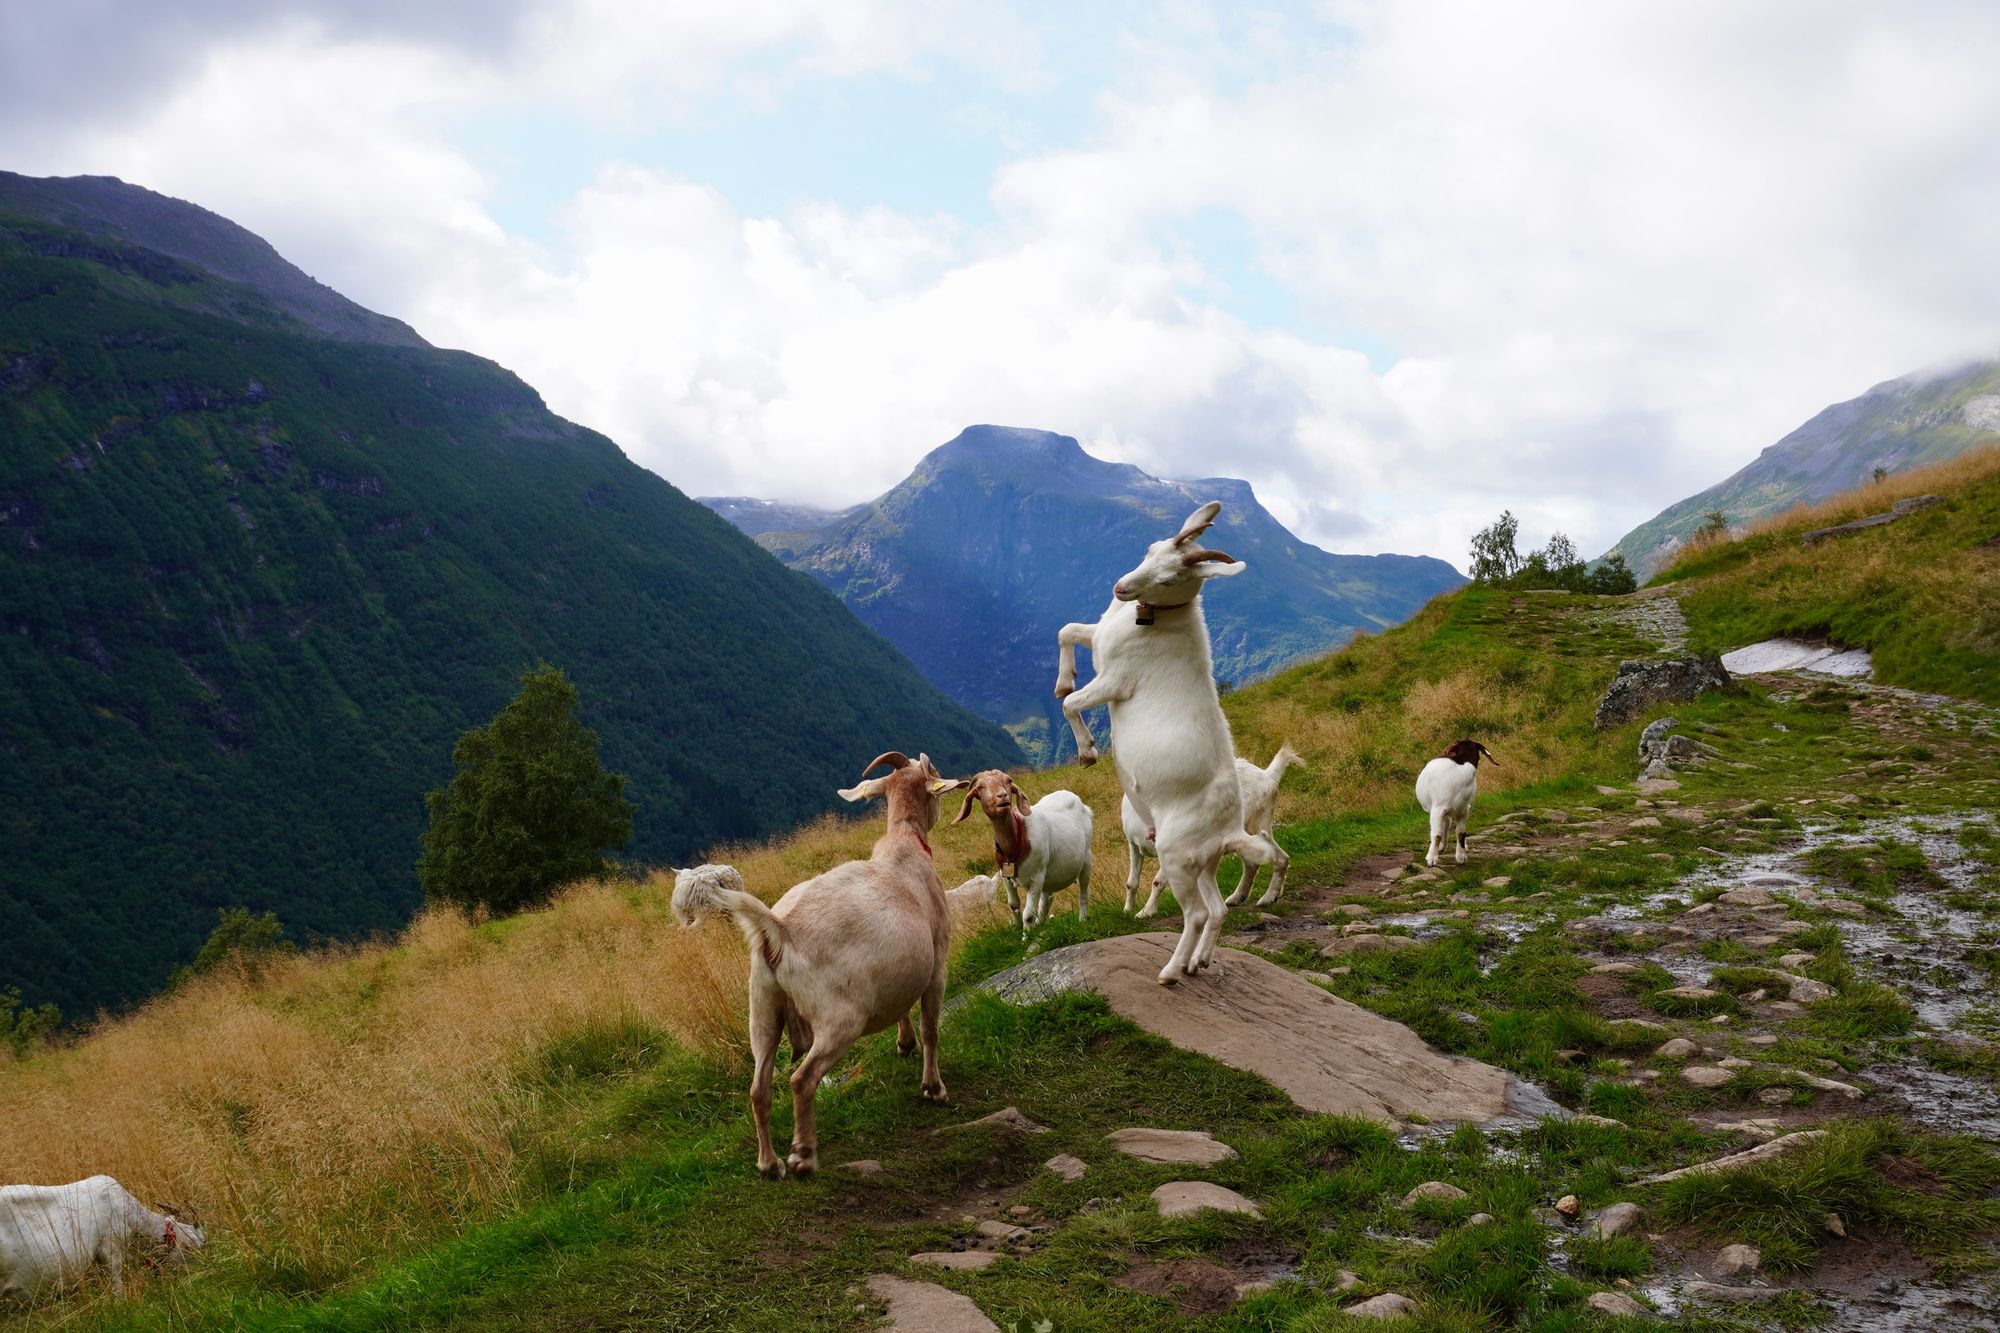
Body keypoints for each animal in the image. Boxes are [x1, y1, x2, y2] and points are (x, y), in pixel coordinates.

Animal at [672, 752, 967, 1180]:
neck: (904, 847)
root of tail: (778, 932)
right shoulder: (937, 962)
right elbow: (931, 1028)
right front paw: (933, 1088)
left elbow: (902, 1006)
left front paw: (903, 1043)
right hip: (838, 1017)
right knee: (801, 1079)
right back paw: (802, 1155)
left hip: (762, 1010)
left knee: (758, 1088)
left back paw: (770, 1163)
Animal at [951, 771, 1093, 928]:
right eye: (981, 787)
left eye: (1008, 781)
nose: (1002, 796)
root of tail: (1080, 802)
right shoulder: (1006, 876)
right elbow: (1013, 905)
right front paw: (1018, 928)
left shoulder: (1036, 877)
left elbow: (1029, 915)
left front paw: (1027, 934)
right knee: (1046, 900)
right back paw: (1041, 924)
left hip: (1086, 859)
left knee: (1084, 893)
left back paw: (1082, 920)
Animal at [1122, 743, 1302, 915]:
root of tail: (1267, 776)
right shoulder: (1134, 846)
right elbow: (1132, 882)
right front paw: (1127, 910)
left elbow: (1158, 881)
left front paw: (1146, 912)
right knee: (1254, 863)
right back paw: (1238, 898)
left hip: (1253, 826)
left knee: (1274, 857)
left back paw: (1268, 897)